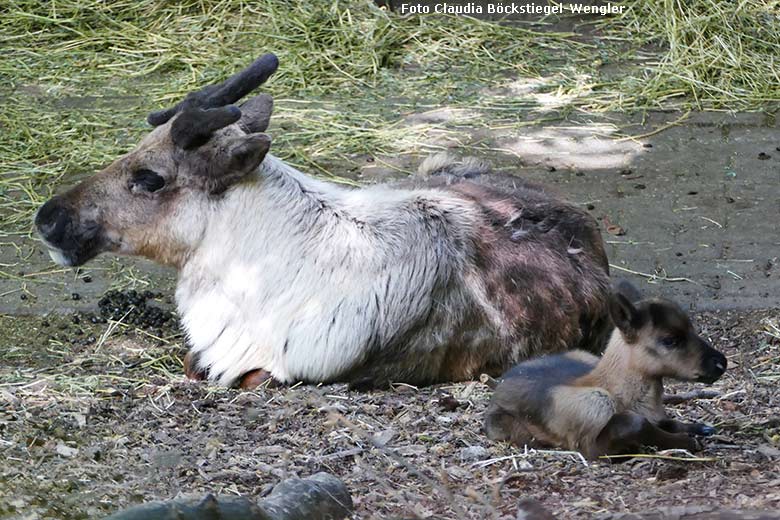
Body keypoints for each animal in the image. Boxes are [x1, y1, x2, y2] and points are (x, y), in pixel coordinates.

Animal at [484, 284, 728, 460]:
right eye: (669, 340)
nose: (721, 363)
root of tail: (502, 380)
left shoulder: (654, 414)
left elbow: (667, 421)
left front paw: (701, 428)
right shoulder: (590, 447)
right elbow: (636, 423)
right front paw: (687, 441)